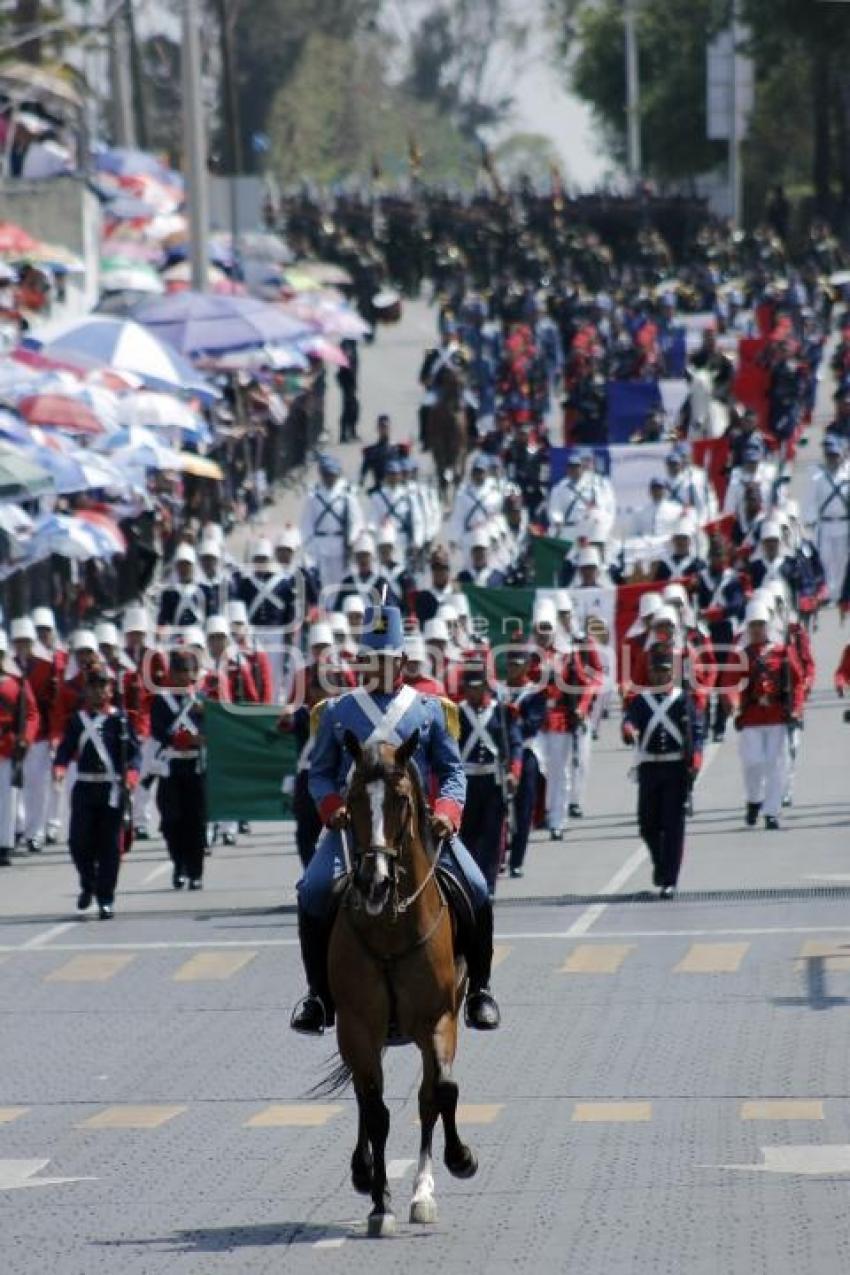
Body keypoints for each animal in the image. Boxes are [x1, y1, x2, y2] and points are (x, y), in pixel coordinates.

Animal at [323, 734, 476, 1239]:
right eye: (352, 798)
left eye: (402, 800)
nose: (374, 882)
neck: (391, 924)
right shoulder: (356, 1027)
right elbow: (375, 1112)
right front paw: (379, 1203)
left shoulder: (438, 1019)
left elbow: (440, 1092)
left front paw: (458, 1159)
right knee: (363, 1095)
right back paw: (364, 1170)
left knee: (428, 1098)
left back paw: (423, 1191)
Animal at [428, 362, 468, 504]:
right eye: (450, 383)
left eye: (463, 384)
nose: (458, 406)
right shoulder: (439, 449)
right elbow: (442, 473)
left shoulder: (459, 449)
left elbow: (456, 475)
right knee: (442, 472)